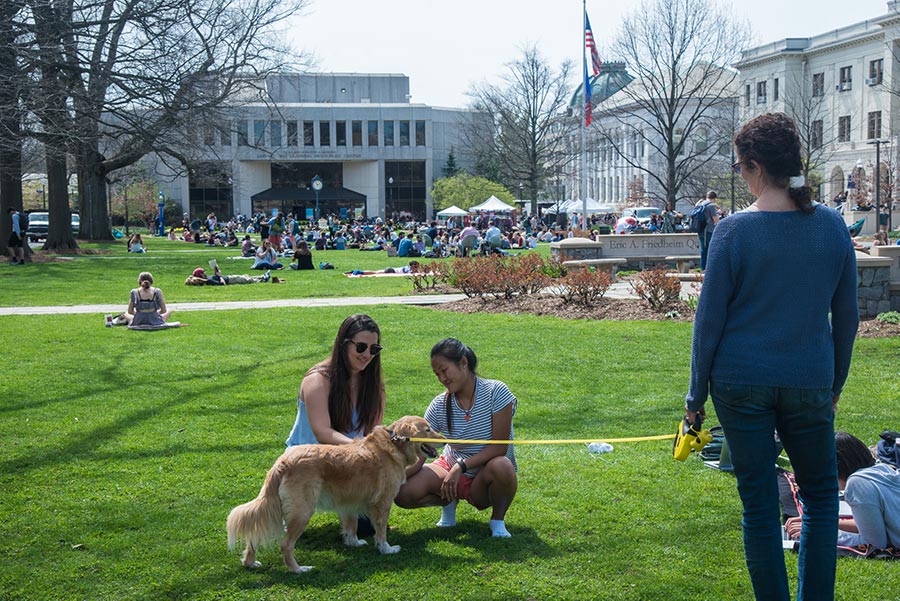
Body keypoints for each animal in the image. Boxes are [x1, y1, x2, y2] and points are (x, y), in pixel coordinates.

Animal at [225, 414, 442, 568]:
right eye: (428, 429)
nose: (445, 438)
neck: (394, 444)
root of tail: (283, 462)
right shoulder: (382, 503)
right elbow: (380, 532)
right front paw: (386, 549)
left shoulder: (349, 503)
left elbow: (351, 526)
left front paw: (354, 543)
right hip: (302, 512)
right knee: (285, 545)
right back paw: (298, 569)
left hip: (275, 509)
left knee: (254, 535)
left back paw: (250, 563)